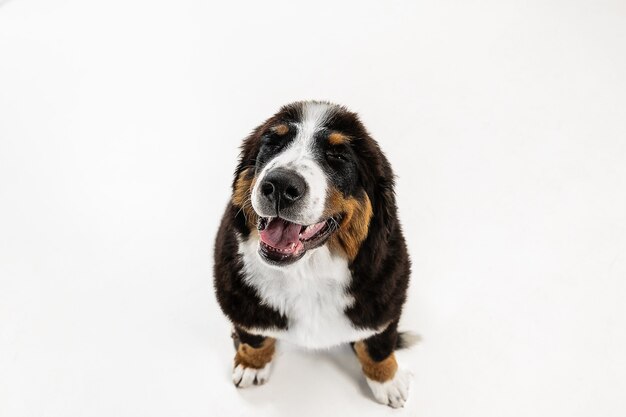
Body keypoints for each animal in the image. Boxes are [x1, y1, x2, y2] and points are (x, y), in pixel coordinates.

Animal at [212, 100, 412, 406]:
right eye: (272, 143)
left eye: (338, 156)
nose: (280, 185)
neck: (306, 273)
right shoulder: (238, 297)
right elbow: (254, 336)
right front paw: (251, 364)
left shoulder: (386, 298)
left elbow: (377, 345)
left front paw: (387, 381)